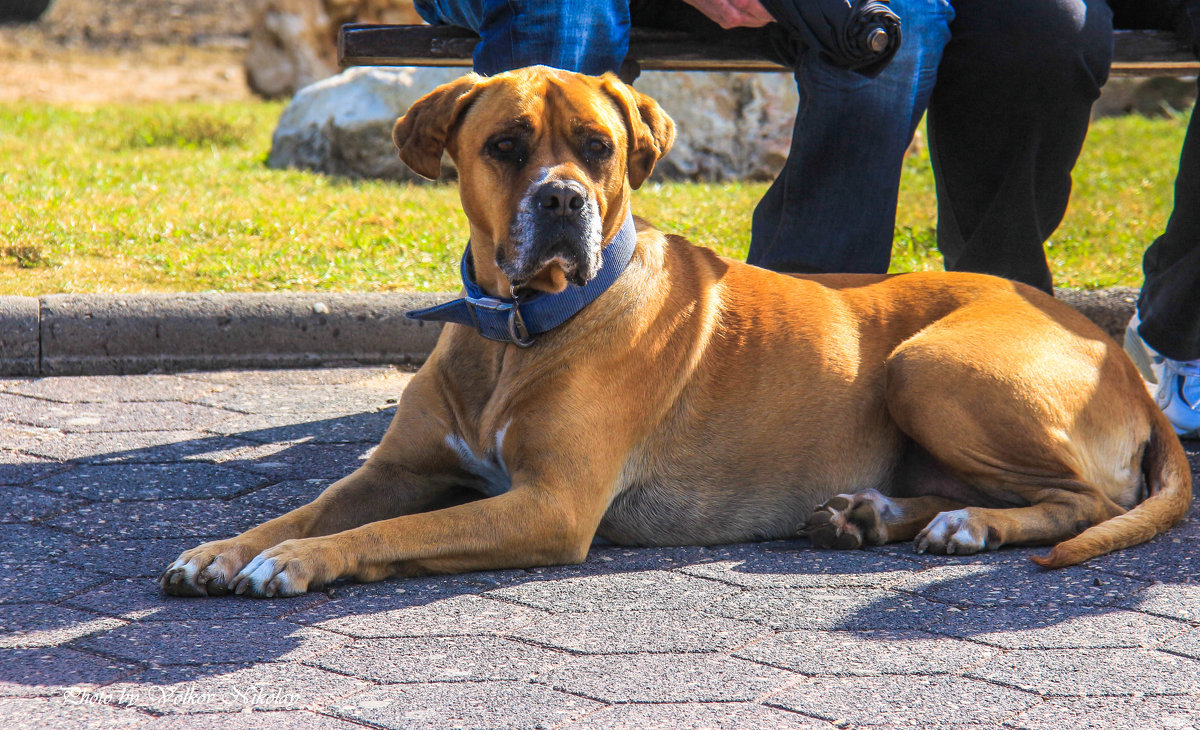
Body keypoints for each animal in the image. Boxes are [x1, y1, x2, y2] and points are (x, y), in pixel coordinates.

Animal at [159, 65, 1190, 595]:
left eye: (599, 148)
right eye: (505, 146)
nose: (564, 200)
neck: (515, 327)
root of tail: (1115, 351)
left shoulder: (549, 505)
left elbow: (386, 533)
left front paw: (299, 562)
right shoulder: (395, 470)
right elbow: (315, 505)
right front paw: (230, 547)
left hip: (927, 367)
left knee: (1085, 500)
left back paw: (970, 525)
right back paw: (877, 513)